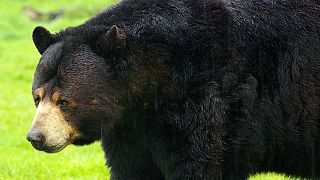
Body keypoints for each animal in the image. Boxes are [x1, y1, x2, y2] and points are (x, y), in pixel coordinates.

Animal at [26, 0, 320, 179]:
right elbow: (133, 168)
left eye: (64, 101)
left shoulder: (207, 101)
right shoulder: (130, 125)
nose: (36, 137)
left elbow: (196, 163)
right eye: (37, 97)